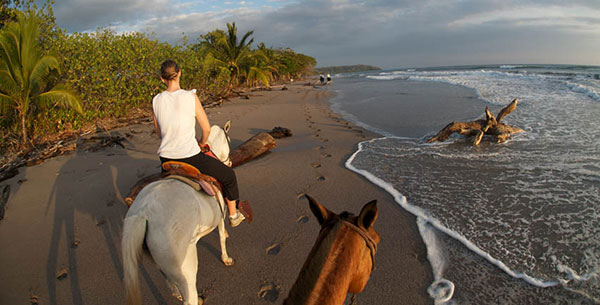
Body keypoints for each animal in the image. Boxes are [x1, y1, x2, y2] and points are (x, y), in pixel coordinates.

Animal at [121, 120, 232, 304]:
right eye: (229, 139)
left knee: (169, 283)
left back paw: (178, 294)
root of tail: (143, 212)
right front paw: (226, 258)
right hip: (185, 266)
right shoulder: (220, 216)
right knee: (189, 296)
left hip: (161, 262)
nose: (229, 163)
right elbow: (222, 237)